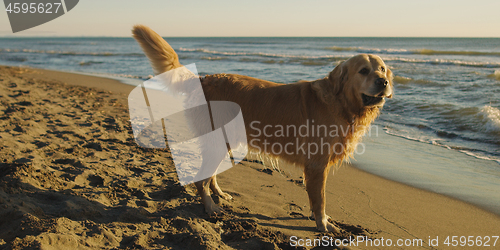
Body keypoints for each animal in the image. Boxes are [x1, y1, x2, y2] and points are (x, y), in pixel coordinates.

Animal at [133, 24, 394, 231]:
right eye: (363, 71)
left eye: (382, 68)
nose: (384, 82)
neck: (340, 102)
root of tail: (204, 78)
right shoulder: (317, 164)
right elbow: (320, 199)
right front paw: (323, 224)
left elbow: (314, 198)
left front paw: (318, 218)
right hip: (218, 142)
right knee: (201, 180)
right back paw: (210, 207)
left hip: (224, 141)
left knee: (211, 174)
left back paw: (219, 195)